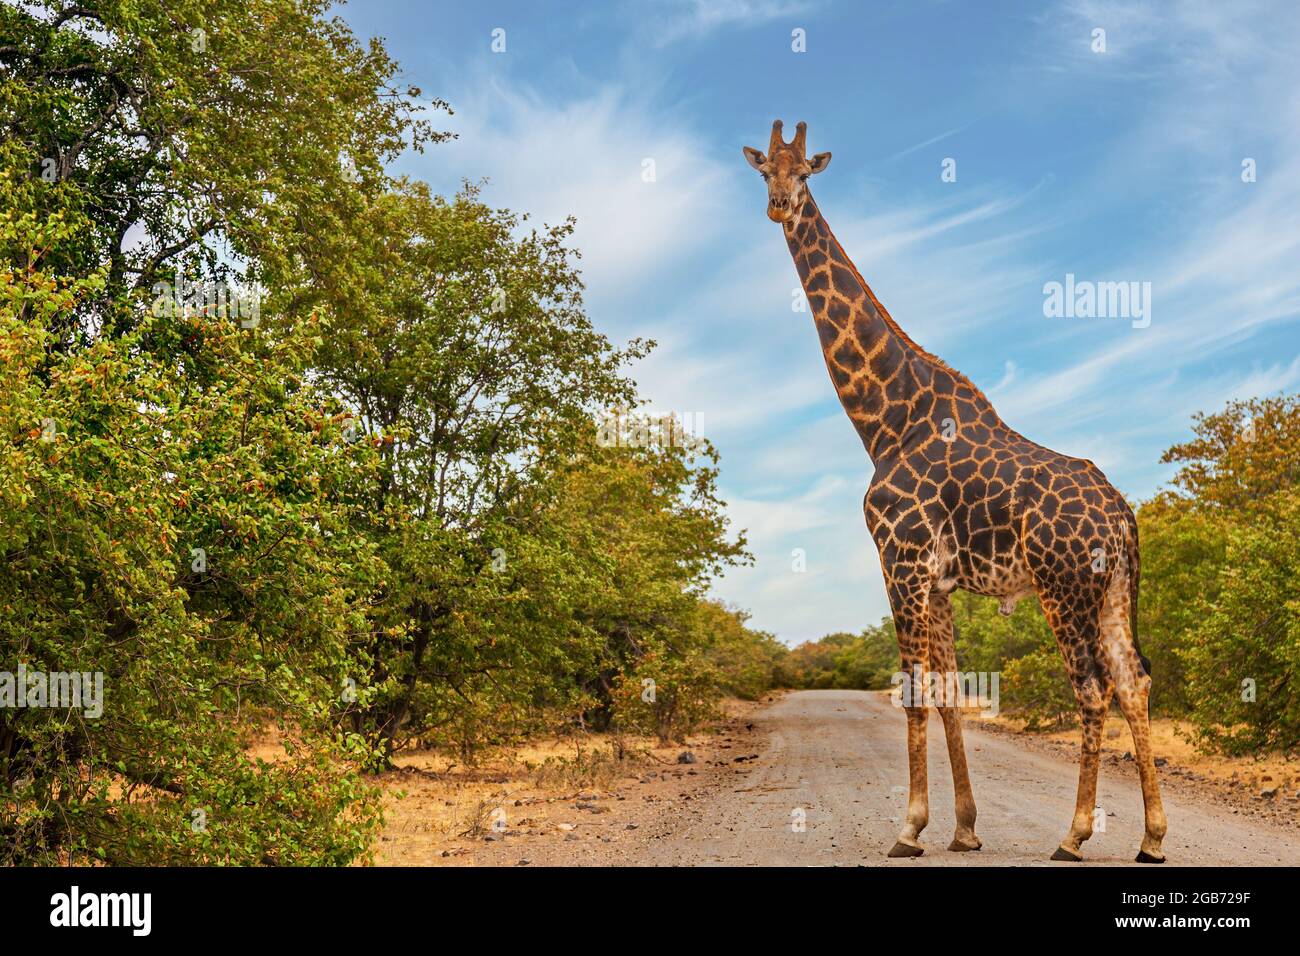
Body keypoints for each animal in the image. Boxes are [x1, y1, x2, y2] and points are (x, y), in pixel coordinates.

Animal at [743, 120, 1167, 863]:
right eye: (765, 169)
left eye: (806, 172)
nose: (778, 206)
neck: (885, 421)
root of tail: (1121, 517)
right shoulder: (936, 579)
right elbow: (946, 690)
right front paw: (963, 828)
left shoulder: (900, 560)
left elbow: (914, 689)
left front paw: (908, 829)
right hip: (1115, 587)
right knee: (1134, 679)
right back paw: (1151, 837)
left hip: (1063, 587)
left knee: (1093, 688)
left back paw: (1073, 834)